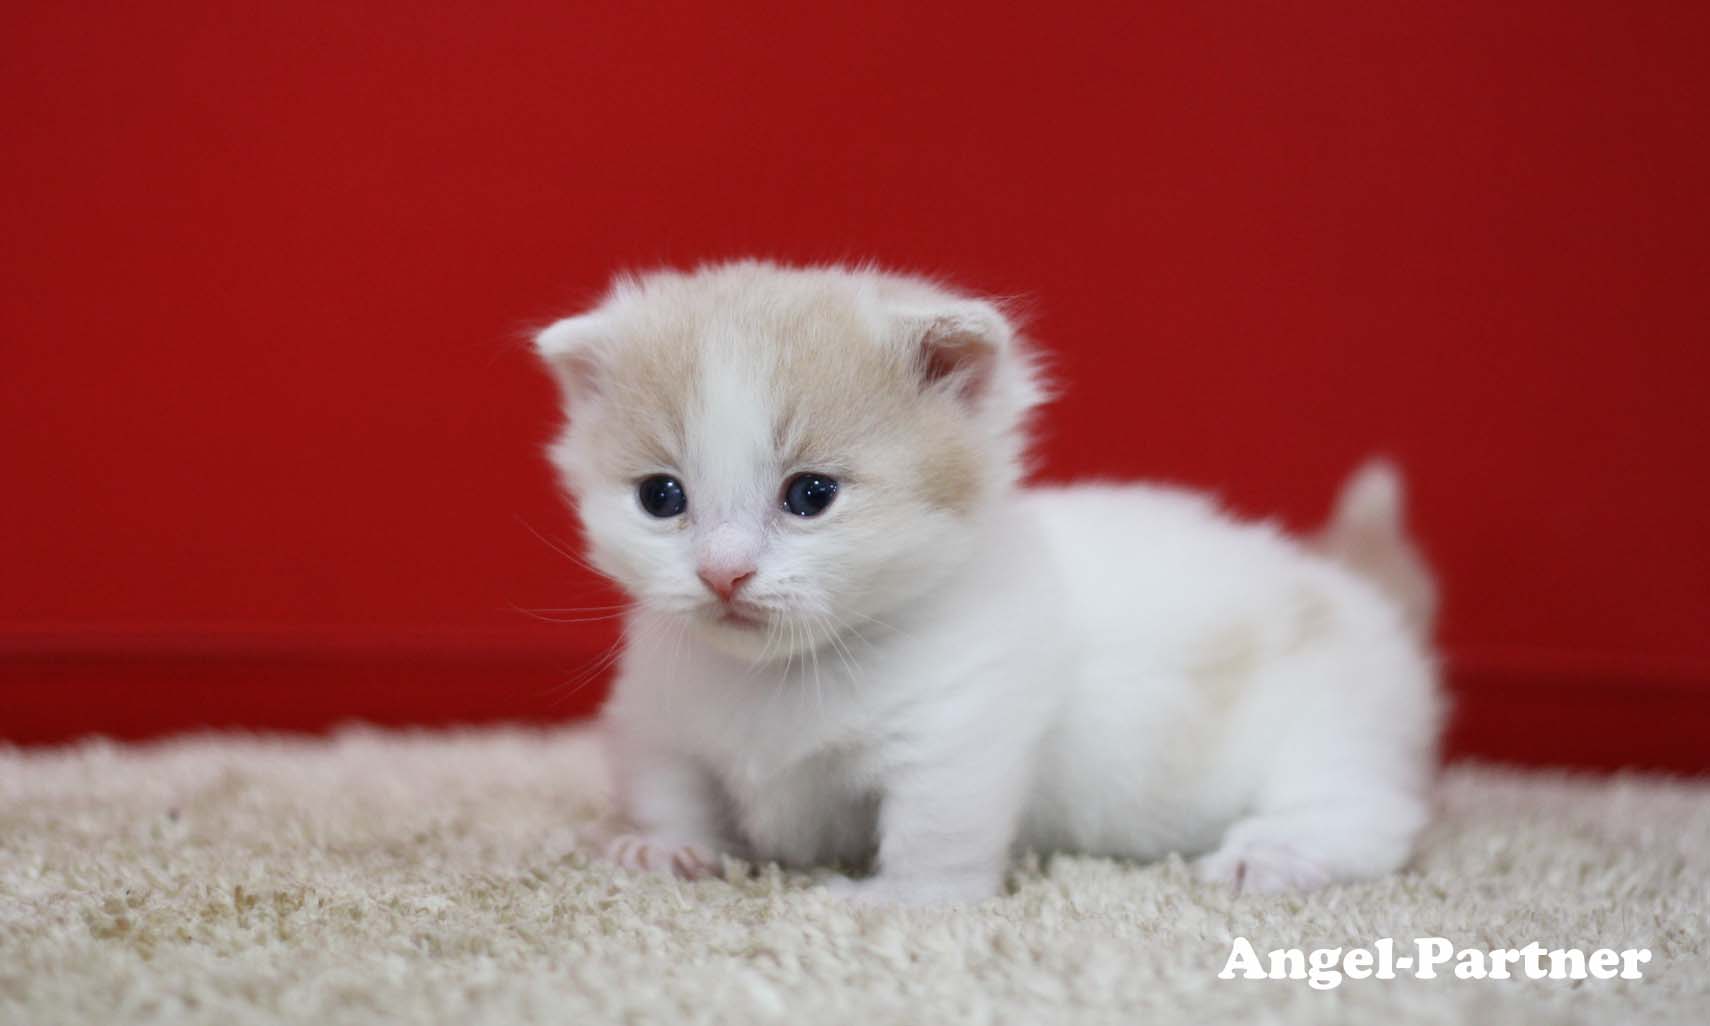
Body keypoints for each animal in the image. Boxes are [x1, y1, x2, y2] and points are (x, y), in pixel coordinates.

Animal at [533, 263, 1443, 902]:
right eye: (661, 498)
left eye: (811, 495)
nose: (723, 573)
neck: (780, 677)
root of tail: (1347, 584)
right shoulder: (657, 714)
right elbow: (669, 784)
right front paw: (662, 848)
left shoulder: (957, 728)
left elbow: (934, 829)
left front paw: (895, 902)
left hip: (1331, 726)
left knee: (1376, 813)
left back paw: (1275, 854)